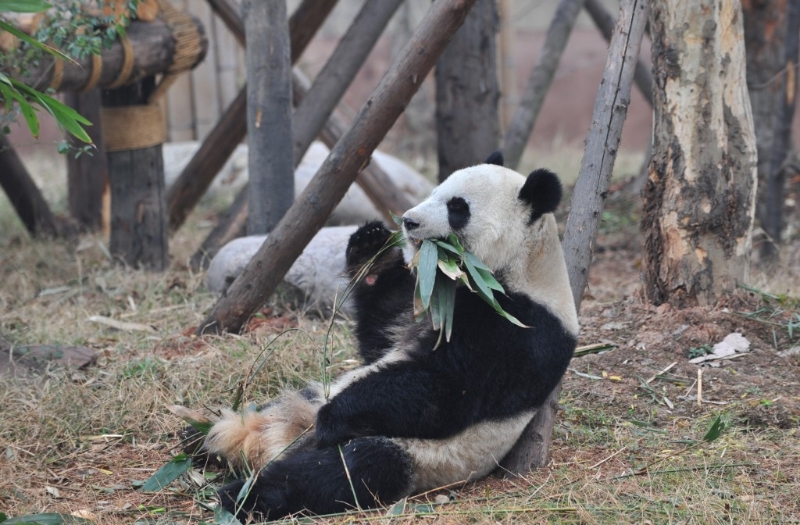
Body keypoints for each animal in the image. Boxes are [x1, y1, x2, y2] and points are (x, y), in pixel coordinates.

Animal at [191, 151, 580, 520]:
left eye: (457, 208)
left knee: (343, 470)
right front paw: (371, 247)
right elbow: (380, 336)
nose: (409, 221)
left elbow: (444, 390)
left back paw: (238, 494)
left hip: (418, 454)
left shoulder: (518, 328)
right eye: (434, 192)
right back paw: (201, 437)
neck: (524, 265)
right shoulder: (429, 297)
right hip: (313, 393)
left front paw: (334, 418)